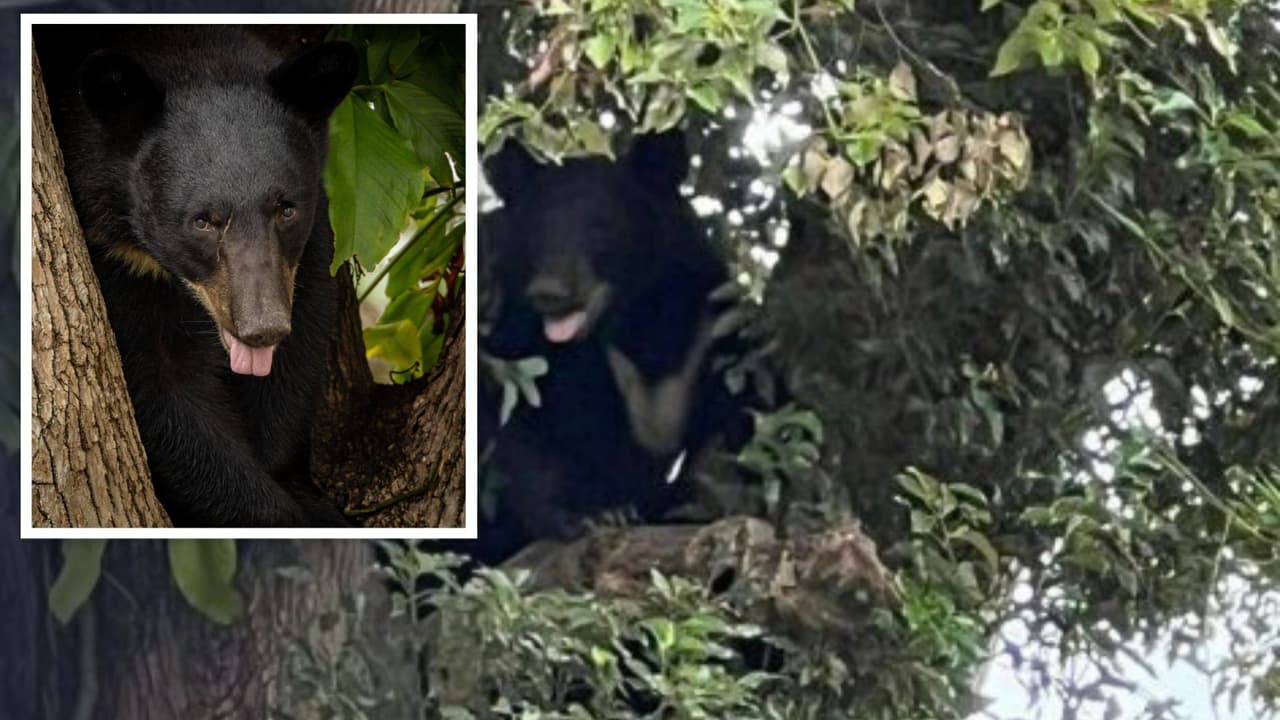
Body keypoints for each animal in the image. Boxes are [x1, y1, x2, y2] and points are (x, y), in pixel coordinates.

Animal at [36, 26, 356, 527]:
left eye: (285, 208)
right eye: (202, 221)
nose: (262, 328)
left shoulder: (305, 254)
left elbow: (294, 363)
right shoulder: (114, 258)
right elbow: (166, 397)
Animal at [473, 131, 738, 562]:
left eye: (601, 226)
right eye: (537, 231)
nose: (548, 294)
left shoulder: (708, 328)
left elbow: (729, 424)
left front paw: (690, 502)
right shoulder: (518, 341)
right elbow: (523, 429)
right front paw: (591, 515)